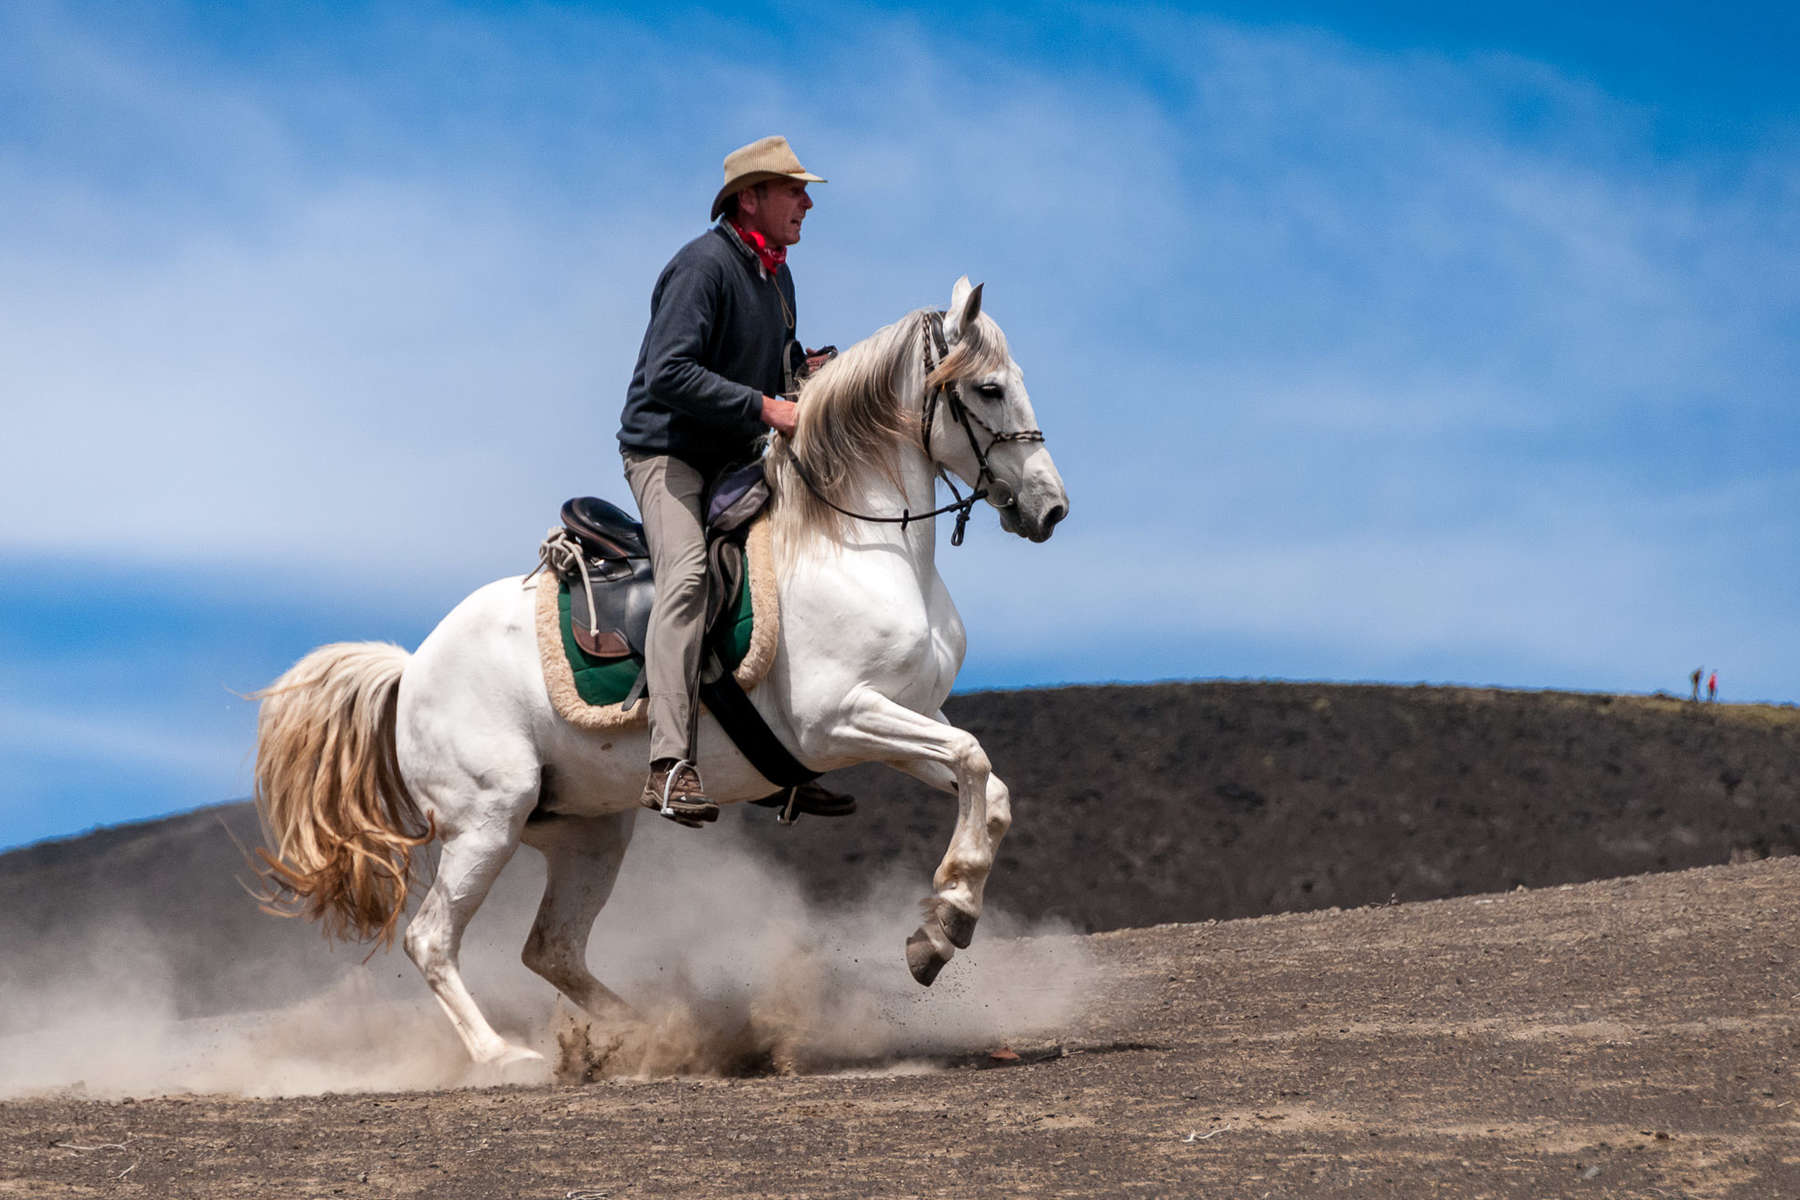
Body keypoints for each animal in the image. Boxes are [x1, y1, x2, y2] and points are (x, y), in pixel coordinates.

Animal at [253, 277, 1065, 1065]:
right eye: (989, 387)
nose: (1051, 509)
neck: (858, 544)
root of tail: (412, 667)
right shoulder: (840, 720)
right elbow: (973, 758)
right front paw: (944, 921)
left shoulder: (905, 718)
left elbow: (988, 788)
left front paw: (944, 923)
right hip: (488, 818)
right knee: (432, 940)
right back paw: (506, 1057)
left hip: (587, 833)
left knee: (552, 950)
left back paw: (656, 1034)